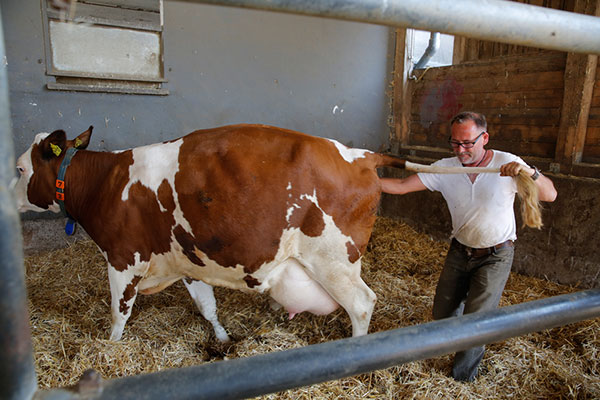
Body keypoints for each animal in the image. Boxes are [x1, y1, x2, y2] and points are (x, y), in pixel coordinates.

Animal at [15, 124, 408, 340]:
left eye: (19, 168)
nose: (9, 195)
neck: (105, 184)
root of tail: (362, 155)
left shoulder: (123, 259)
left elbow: (119, 314)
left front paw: (109, 347)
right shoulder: (188, 260)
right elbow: (207, 307)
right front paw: (222, 338)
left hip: (334, 262)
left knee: (361, 304)